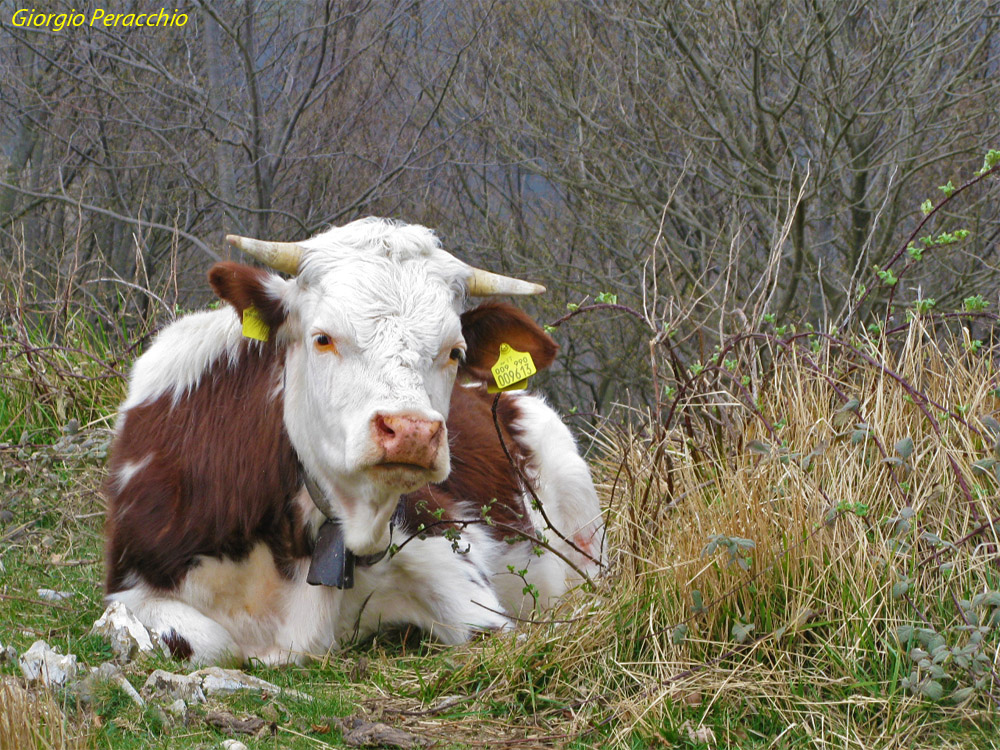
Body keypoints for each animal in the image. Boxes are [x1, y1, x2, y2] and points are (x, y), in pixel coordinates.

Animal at [101, 216, 604, 664]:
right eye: (322, 338)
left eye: (455, 351)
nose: (411, 431)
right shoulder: (130, 585)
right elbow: (209, 642)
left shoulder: (449, 548)